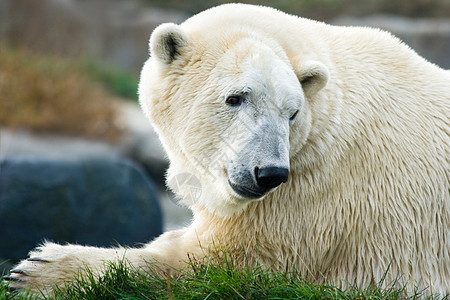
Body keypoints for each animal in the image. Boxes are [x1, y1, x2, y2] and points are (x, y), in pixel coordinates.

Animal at [5, 2, 448, 298]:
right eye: (235, 98)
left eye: (291, 113)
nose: (269, 173)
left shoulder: (311, 200)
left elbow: (214, 263)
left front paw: (37, 271)